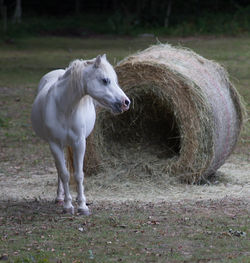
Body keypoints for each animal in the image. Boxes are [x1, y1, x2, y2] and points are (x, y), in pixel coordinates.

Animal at [30, 54, 131, 216]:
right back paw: (60, 198)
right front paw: (68, 206)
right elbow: (65, 174)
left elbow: (78, 175)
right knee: (59, 171)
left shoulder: (79, 143)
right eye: (105, 80)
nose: (126, 102)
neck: (64, 108)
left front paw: (82, 206)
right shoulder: (54, 144)